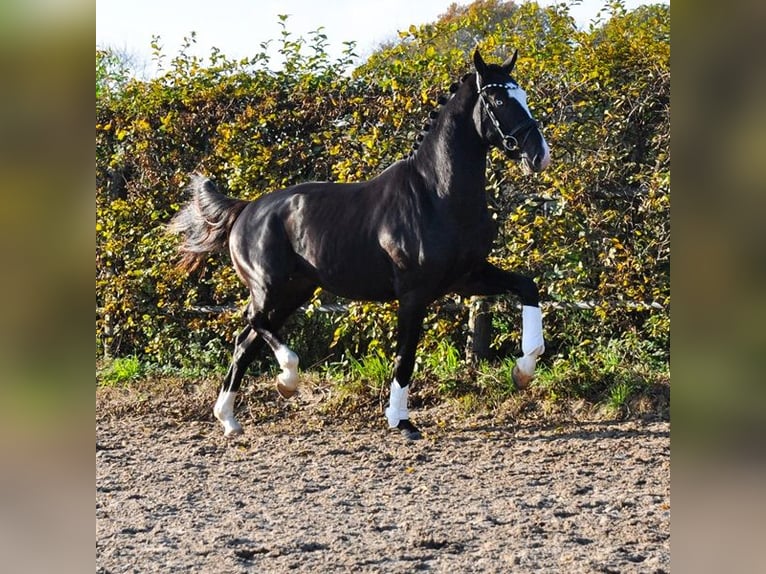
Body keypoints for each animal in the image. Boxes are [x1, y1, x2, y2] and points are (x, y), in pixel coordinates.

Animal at [170, 49, 548, 440]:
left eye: (522, 95)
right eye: (499, 100)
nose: (539, 154)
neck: (436, 194)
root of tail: (245, 209)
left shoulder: (466, 278)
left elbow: (527, 287)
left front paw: (523, 371)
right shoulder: (414, 294)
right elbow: (405, 357)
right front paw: (401, 422)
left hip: (293, 292)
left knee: (245, 341)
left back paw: (230, 418)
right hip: (270, 288)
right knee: (253, 323)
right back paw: (286, 380)